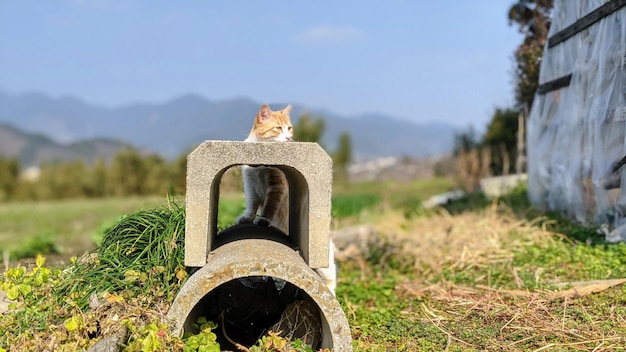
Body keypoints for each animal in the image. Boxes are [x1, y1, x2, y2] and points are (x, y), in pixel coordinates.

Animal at [235, 104, 336, 294]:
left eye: (289, 128)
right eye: (278, 128)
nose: (289, 137)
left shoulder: (277, 186)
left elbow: (269, 206)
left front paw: (263, 220)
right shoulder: (250, 184)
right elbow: (251, 204)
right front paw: (248, 217)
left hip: (326, 268)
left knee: (329, 280)